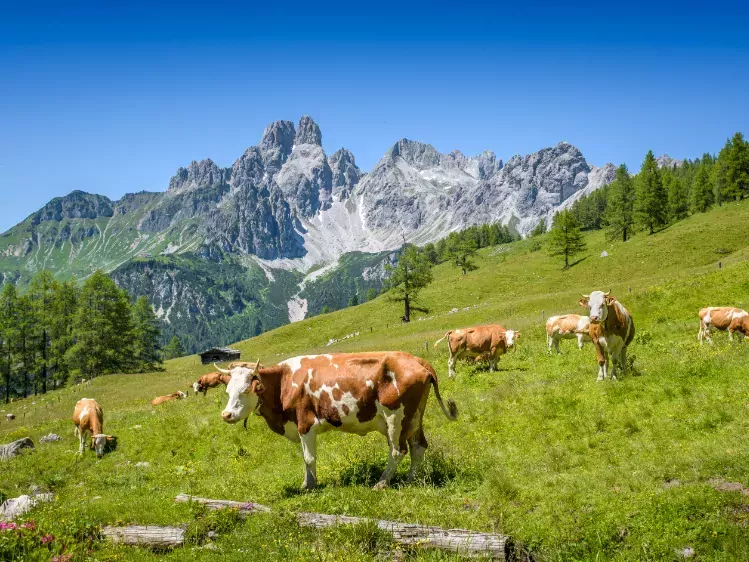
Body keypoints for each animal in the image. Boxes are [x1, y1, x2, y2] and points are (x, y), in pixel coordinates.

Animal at [218, 353, 458, 491]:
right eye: (228, 391)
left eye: (244, 390)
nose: (226, 415)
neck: (284, 381)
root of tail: (417, 360)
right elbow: (305, 458)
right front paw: (306, 483)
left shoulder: (305, 423)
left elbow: (309, 458)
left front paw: (310, 486)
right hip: (414, 417)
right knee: (418, 446)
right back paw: (409, 480)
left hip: (395, 417)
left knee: (398, 451)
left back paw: (381, 483)